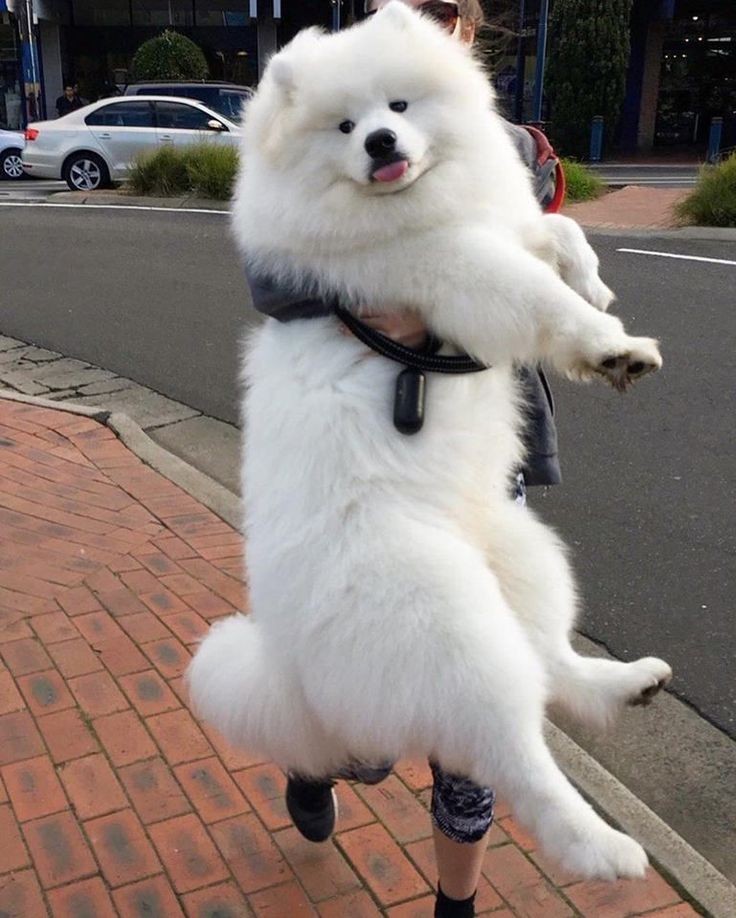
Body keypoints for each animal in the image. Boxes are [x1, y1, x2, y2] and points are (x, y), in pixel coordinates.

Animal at [187, 5, 668, 884]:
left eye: (399, 107)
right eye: (345, 127)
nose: (380, 143)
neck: (418, 206)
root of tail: (297, 671)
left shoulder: (500, 224)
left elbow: (560, 227)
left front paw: (596, 287)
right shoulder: (463, 268)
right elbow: (541, 296)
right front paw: (612, 347)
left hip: (523, 552)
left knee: (553, 664)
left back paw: (627, 685)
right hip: (450, 630)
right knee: (518, 752)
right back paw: (603, 849)